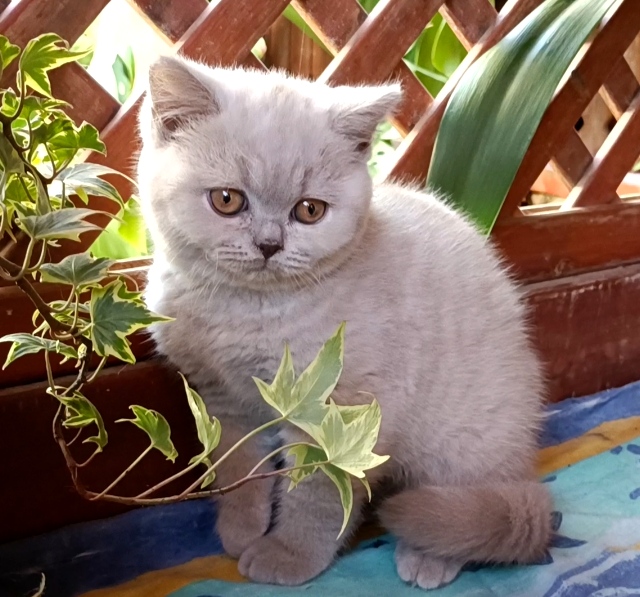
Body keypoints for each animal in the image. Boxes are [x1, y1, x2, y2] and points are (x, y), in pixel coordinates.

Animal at [138, 57, 552, 592]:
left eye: (309, 211)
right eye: (227, 200)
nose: (269, 244)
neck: (244, 311)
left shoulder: (342, 410)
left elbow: (319, 492)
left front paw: (288, 556)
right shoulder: (219, 399)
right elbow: (234, 465)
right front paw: (240, 529)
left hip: (461, 440)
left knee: (475, 503)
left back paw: (431, 553)